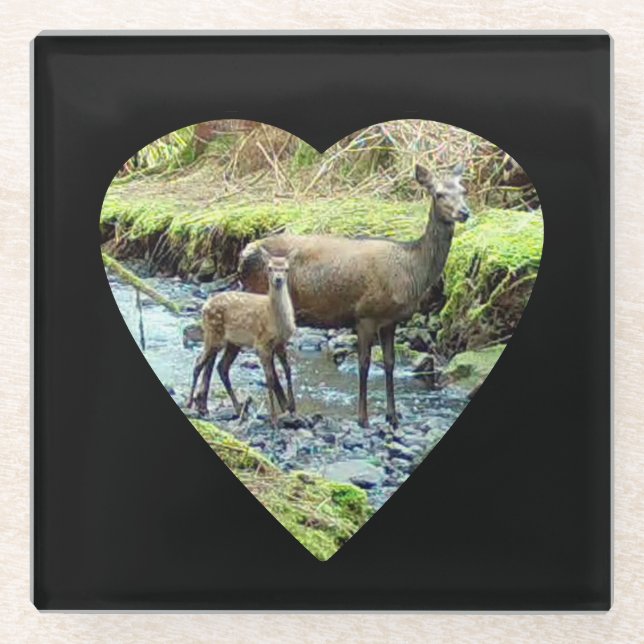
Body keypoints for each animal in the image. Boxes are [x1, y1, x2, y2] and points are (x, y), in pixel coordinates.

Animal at [188, 250, 297, 427]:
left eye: (286, 269)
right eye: (269, 268)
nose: (278, 279)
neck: (275, 319)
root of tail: (204, 307)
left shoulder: (281, 343)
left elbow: (287, 370)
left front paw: (292, 408)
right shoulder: (262, 344)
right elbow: (270, 378)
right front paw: (274, 418)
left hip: (233, 343)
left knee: (221, 367)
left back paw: (237, 409)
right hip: (213, 334)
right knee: (199, 362)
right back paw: (190, 403)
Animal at [238, 164, 471, 429]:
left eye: (463, 190)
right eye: (439, 194)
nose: (464, 212)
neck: (410, 272)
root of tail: (243, 255)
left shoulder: (390, 320)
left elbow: (389, 363)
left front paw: (392, 416)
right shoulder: (365, 315)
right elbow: (364, 364)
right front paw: (364, 418)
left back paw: (288, 405)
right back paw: (286, 406)